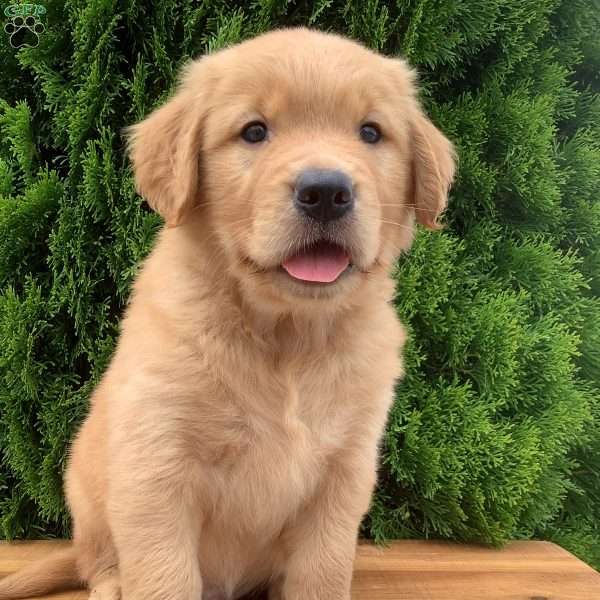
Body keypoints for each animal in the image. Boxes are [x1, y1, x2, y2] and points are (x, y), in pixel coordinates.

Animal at [0, 27, 454, 600]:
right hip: (86, 488)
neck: (286, 335)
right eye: (254, 132)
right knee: (96, 559)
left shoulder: (345, 470)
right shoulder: (156, 463)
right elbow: (164, 577)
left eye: (371, 133)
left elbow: (321, 573)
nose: (326, 191)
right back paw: (111, 582)